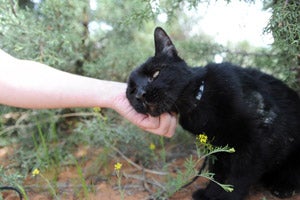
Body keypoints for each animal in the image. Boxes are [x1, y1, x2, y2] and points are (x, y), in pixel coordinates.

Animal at [125, 27, 298, 199]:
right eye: (132, 91)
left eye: (155, 74)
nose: (140, 95)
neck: (197, 102)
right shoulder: (217, 145)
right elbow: (217, 172)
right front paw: (210, 194)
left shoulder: (255, 139)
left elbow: (241, 175)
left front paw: (229, 196)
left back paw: (282, 188)